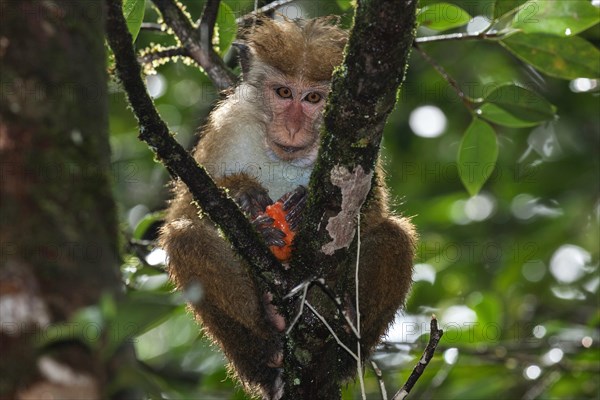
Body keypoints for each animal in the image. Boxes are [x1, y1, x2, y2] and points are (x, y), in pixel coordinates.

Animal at [161, 17, 418, 400]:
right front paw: (244, 197)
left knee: (394, 235)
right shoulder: (227, 127)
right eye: (283, 93)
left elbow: (373, 214)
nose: (293, 128)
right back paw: (268, 338)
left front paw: (305, 202)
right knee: (185, 237)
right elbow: (184, 212)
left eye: (312, 98)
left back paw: (346, 335)